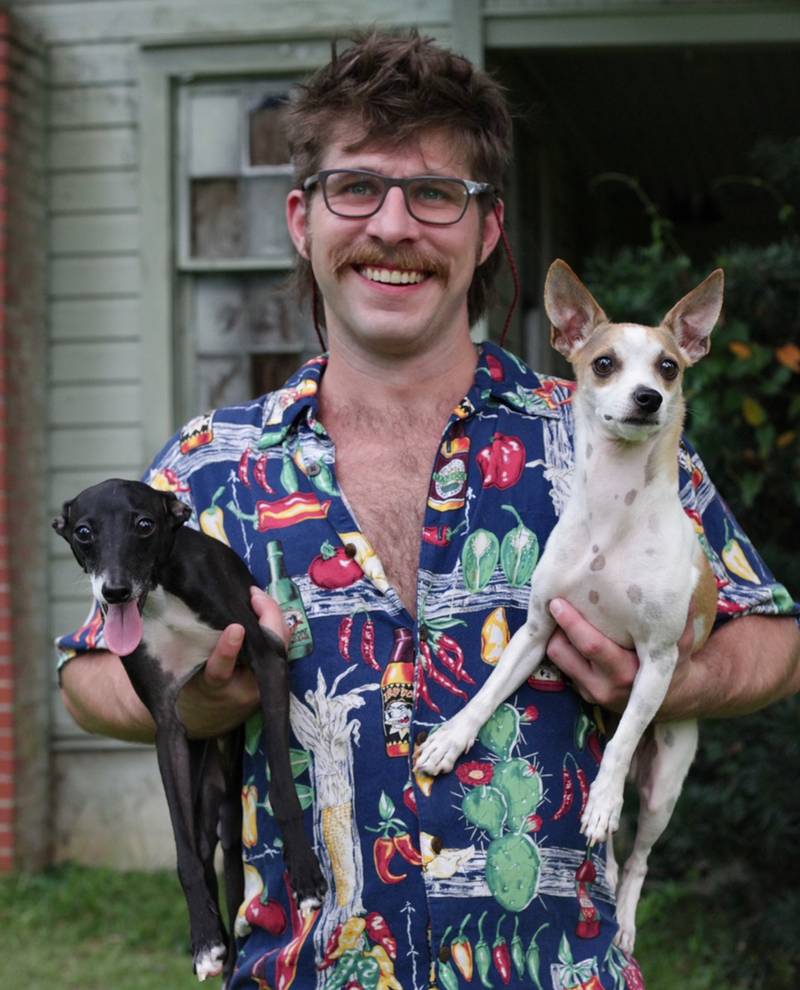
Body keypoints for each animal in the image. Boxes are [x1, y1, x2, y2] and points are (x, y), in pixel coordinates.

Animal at [54, 480, 326, 984]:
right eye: (83, 531)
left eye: (145, 524)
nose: (115, 592)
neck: (160, 593)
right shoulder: (167, 723)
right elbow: (183, 854)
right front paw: (203, 942)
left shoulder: (267, 659)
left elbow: (282, 788)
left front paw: (305, 878)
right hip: (203, 777)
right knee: (201, 848)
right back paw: (219, 943)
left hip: (229, 789)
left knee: (233, 854)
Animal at [416, 262, 720, 952]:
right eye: (604, 363)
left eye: (669, 367)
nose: (648, 397)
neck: (614, 513)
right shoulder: (536, 631)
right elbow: (488, 693)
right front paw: (450, 739)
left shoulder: (657, 663)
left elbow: (621, 742)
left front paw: (602, 799)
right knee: (613, 853)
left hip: (664, 781)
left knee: (638, 853)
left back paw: (625, 914)